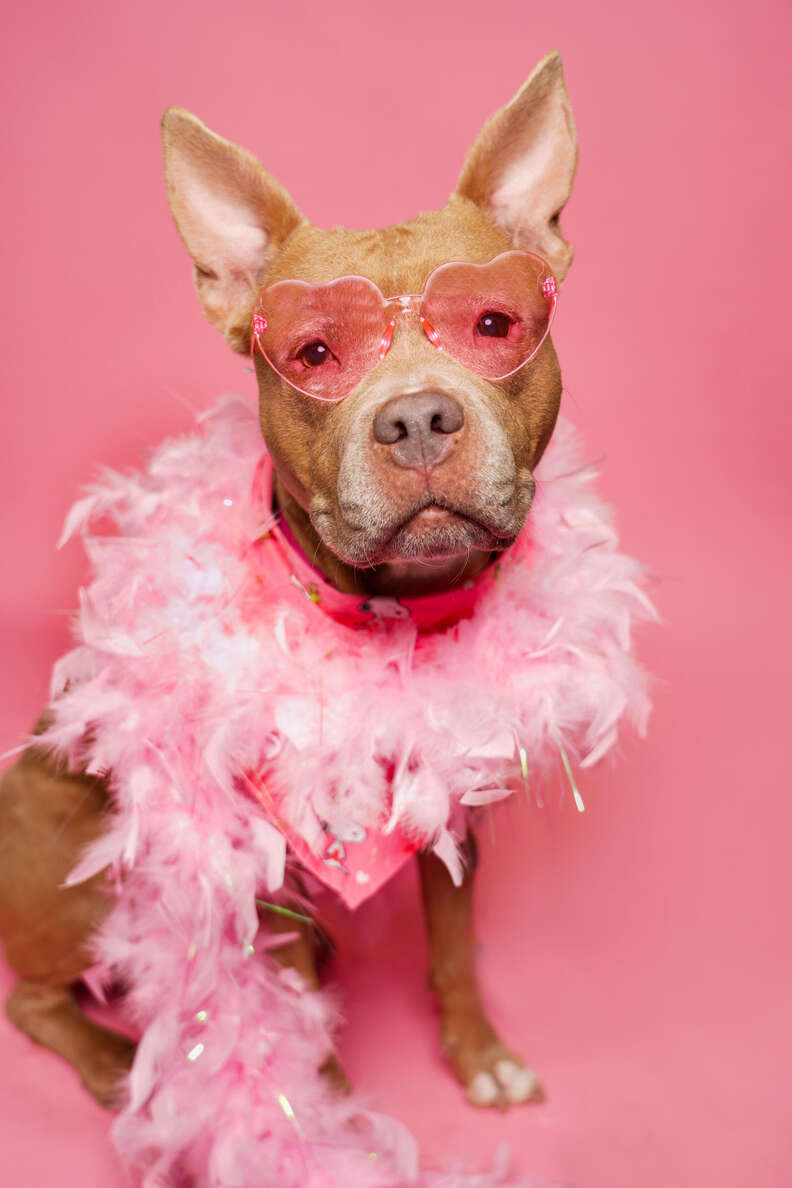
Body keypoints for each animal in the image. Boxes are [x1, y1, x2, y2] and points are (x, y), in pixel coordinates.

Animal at [0, 48, 577, 1121]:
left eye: (494, 325)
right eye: (313, 353)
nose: (417, 418)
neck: (386, 622)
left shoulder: (453, 818)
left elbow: (451, 949)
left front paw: (480, 1054)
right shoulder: (250, 858)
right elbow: (291, 1010)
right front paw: (321, 1112)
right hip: (73, 852)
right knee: (35, 1000)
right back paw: (111, 1064)